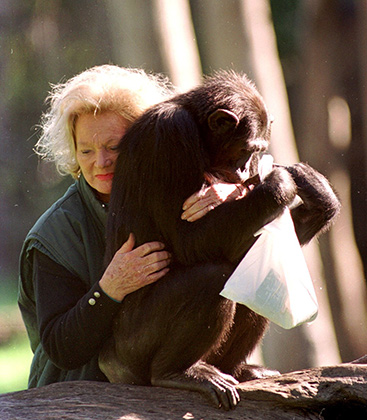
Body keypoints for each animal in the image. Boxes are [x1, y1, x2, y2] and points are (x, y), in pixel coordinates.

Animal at [98, 70, 342, 408]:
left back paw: (240, 370)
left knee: (257, 270)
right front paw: (278, 183)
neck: (198, 131)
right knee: (211, 277)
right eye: (246, 148)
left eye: (256, 150)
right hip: (133, 346)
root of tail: (109, 362)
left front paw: (315, 191)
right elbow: (186, 241)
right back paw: (178, 372)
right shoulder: (168, 136)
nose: (245, 167)